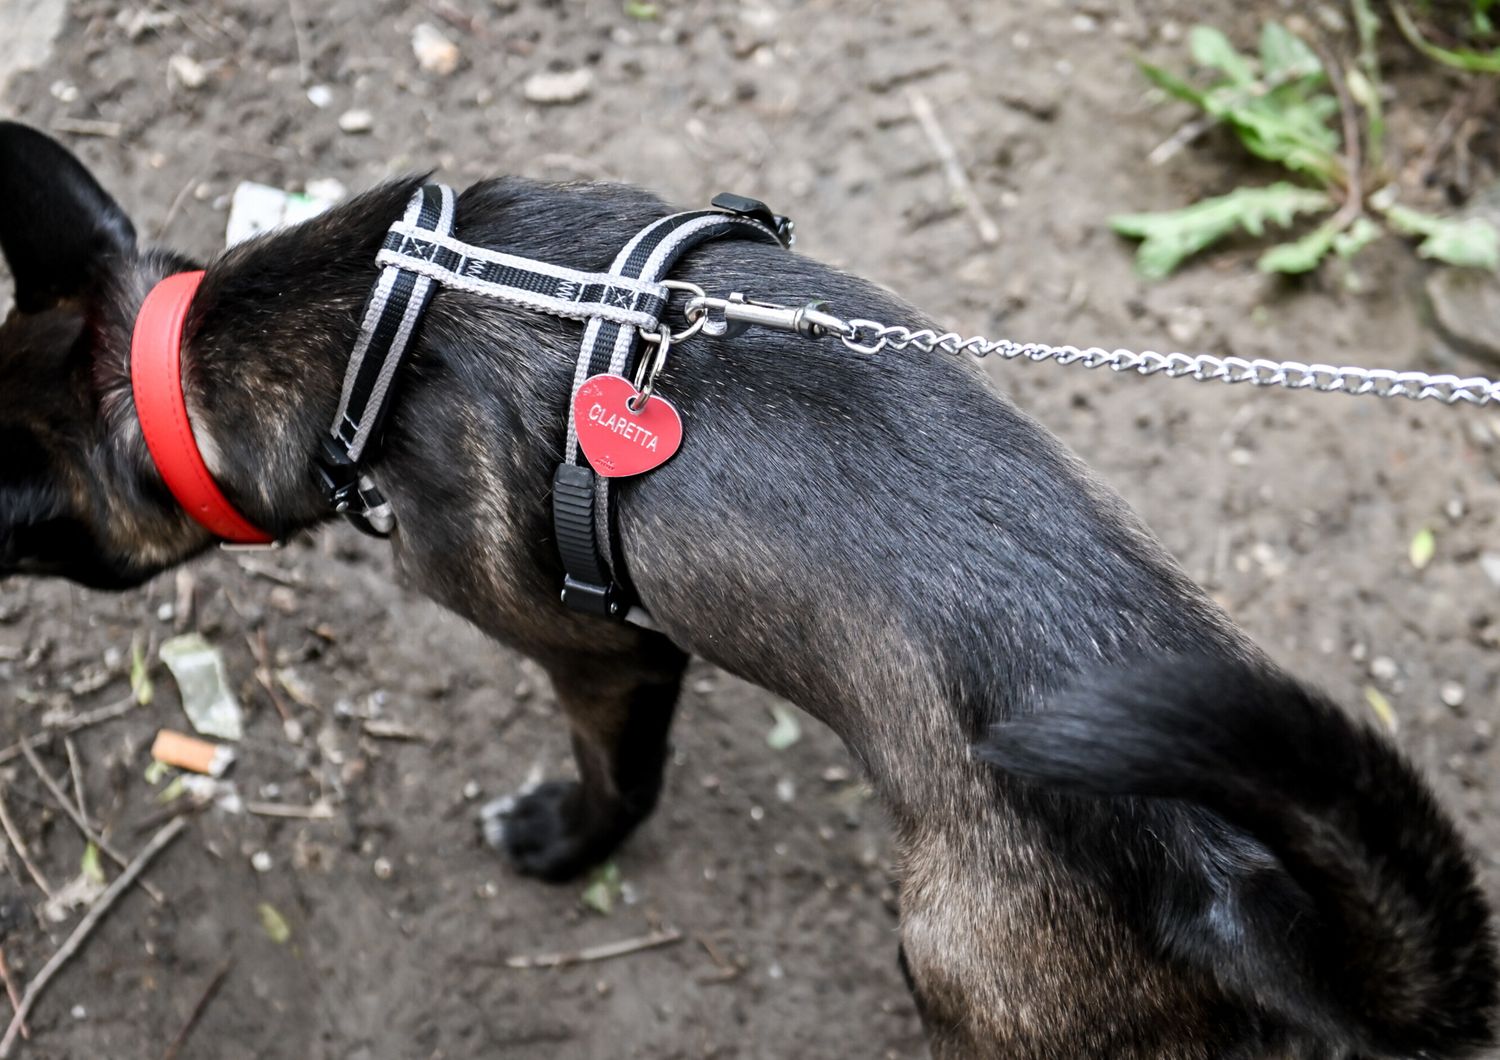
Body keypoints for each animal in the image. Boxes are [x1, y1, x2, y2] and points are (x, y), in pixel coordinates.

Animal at [0, 119, 1494, 1055]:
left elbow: (618, 777)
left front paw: (563, 844)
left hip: (959, 963)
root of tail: (1239, 887)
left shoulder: (605, 656)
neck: (380, 317)